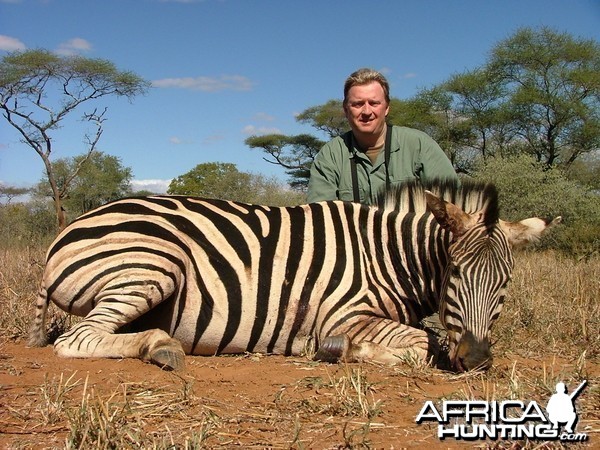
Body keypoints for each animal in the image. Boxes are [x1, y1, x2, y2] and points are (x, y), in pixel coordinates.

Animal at [27, 180, 564, 372]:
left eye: (506, 283)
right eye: (453, 272)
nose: (476, 360)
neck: (388, 256)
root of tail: (62, 234)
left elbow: (426, 336)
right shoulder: (343, 313)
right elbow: (419, 343)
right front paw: (336, 351)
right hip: (154, 264)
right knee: (77, 340)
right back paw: (161, 347)